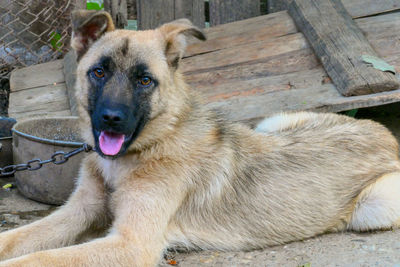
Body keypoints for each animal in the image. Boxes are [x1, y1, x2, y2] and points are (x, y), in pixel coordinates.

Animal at [0, 9, 400, 266]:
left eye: (144, 80)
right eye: (99, 72)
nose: (111, 120)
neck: (149, 147)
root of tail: (385, 133)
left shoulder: (131, 245)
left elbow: (38, 258)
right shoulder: (76, 212)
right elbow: (18, 240)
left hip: (374, 207)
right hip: (271, 122)